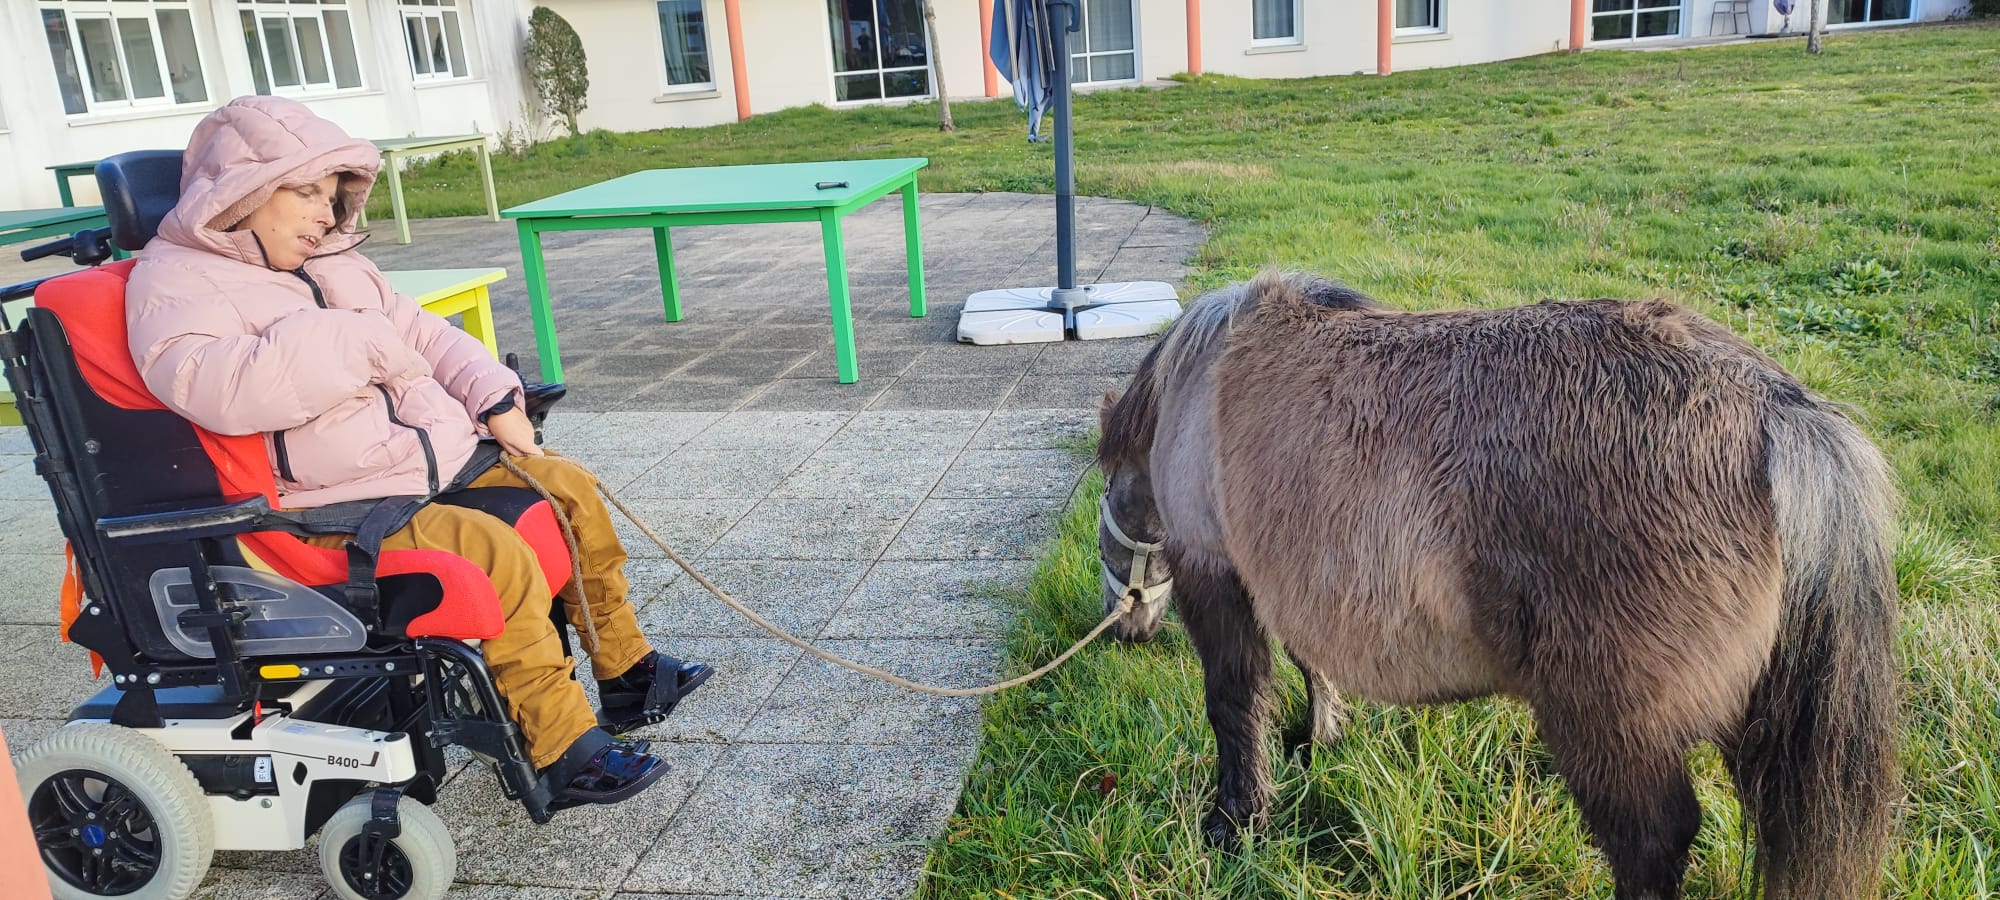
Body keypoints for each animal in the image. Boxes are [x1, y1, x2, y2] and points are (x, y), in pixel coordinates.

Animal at [1094, 271, 1899, 899]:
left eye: (1105, 518)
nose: (1123, 628)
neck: (1195, 380)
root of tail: (1772, 408)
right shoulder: (1288, 580)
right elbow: (1311, 664)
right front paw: (1317, 740)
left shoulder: (1215, 576)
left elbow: (1234, 707)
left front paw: (1235, 826)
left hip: (1610, 725)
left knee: (1652, 844)